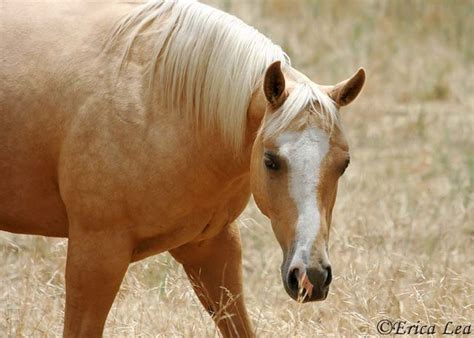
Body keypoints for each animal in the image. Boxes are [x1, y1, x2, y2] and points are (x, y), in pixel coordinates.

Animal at [0, 1, 364, 336]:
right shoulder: (95, 256)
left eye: (343, 165)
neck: (161, 104)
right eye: (270, 161)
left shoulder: (212, 246)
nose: (311, 277)